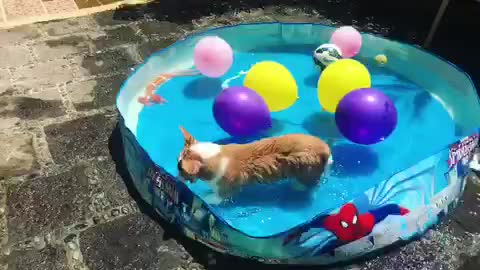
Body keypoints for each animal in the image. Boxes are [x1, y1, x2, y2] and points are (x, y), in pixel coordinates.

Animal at [177, 126, 334, 200]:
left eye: (181, 169)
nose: (177, 178)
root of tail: (325, 149)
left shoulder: (226, 191)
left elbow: (213, 198)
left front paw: (202, 197)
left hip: (306, 171)